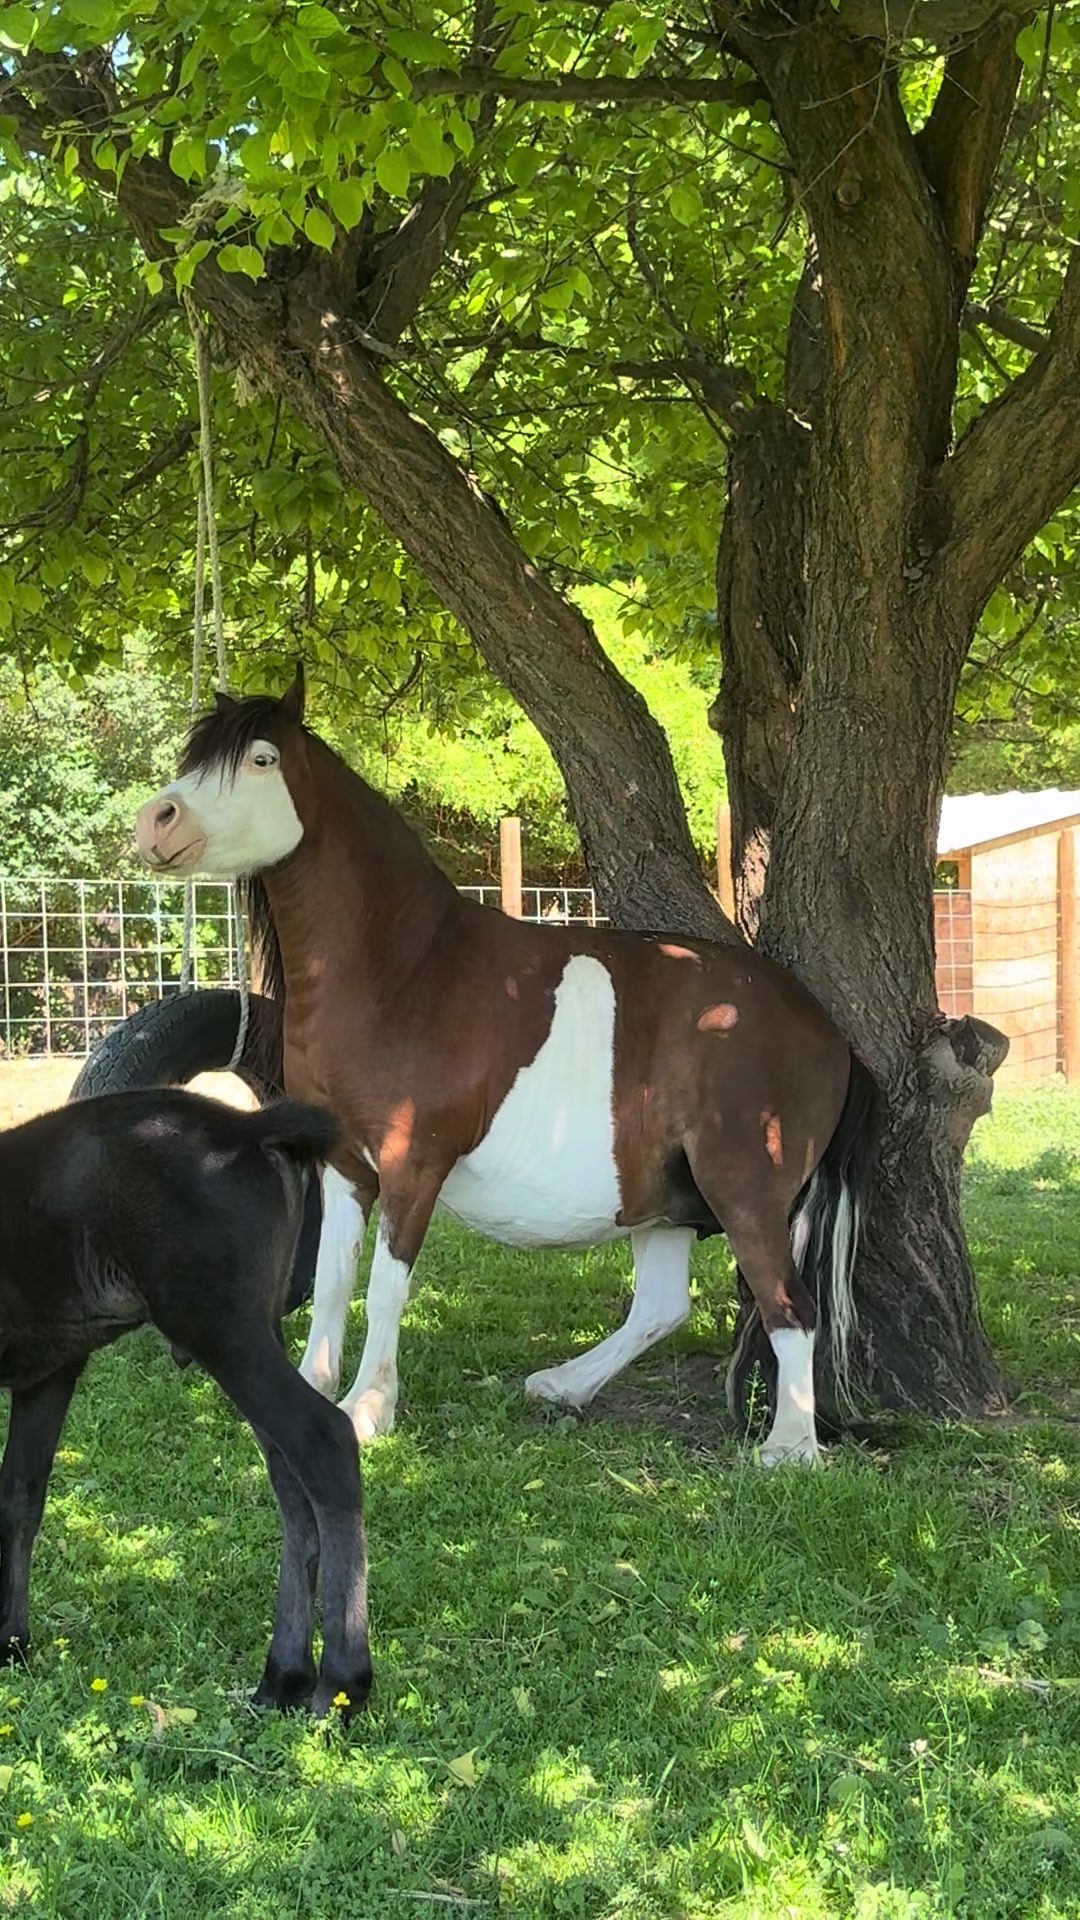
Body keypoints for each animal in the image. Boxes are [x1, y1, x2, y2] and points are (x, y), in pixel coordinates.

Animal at [0, 1086, 371, 1716]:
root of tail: (250, 1128)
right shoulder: (46, 1376)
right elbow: (20, 1499)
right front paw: (9, 1641)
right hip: (252, 1333)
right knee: (291, 1481)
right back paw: (284, 1675)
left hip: (221, 1331)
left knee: (323, 1441)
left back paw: (342, 1681)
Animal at [135, 668, 878, 1466]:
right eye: (192, 757)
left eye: (261, 759)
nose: (156, 822)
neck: (404, 972)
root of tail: (824, 1028)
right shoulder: (342, 1165)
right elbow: (334, 1281)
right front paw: (314, 1390)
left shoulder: (412, 1164)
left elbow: (386, 1286)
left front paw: (368, 1409)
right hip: (663, 1196)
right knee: (663, 1306)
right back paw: (563, 1385)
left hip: (742, 1186)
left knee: (790, 1305)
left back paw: (790, 1447)